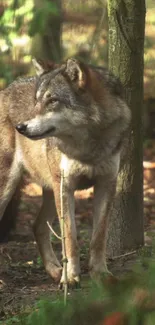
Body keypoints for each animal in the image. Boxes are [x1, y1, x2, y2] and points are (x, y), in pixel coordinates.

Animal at [0, 58, 131, 286]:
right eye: (36, 101)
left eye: (52, 100)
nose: (20, 127)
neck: (88, 146)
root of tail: (4, 90)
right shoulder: (66, 187)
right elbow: (70, 237)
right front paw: (70, 277)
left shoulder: (106, 184)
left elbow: (98, 237)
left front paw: (100, 273)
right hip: (12, 186)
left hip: (50, 190)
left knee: (38, 226)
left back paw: (54, 271)